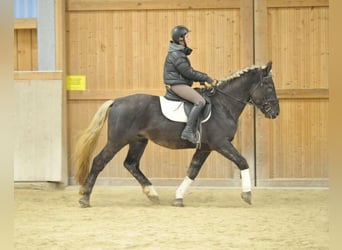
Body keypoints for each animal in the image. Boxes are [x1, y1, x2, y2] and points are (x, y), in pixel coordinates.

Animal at [74, 60, 278, 207]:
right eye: (269, 86)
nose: (276, 113)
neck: (223, 105)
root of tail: (116, 101)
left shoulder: (205, 148)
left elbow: (193, 170)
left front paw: (178, 197)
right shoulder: (221, 143)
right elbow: (242, 161)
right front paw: (247, 194)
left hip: (138, 141)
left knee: (131, 164)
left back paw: (152, 194)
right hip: (117, 140)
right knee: (99, 161)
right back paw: (85, 199)